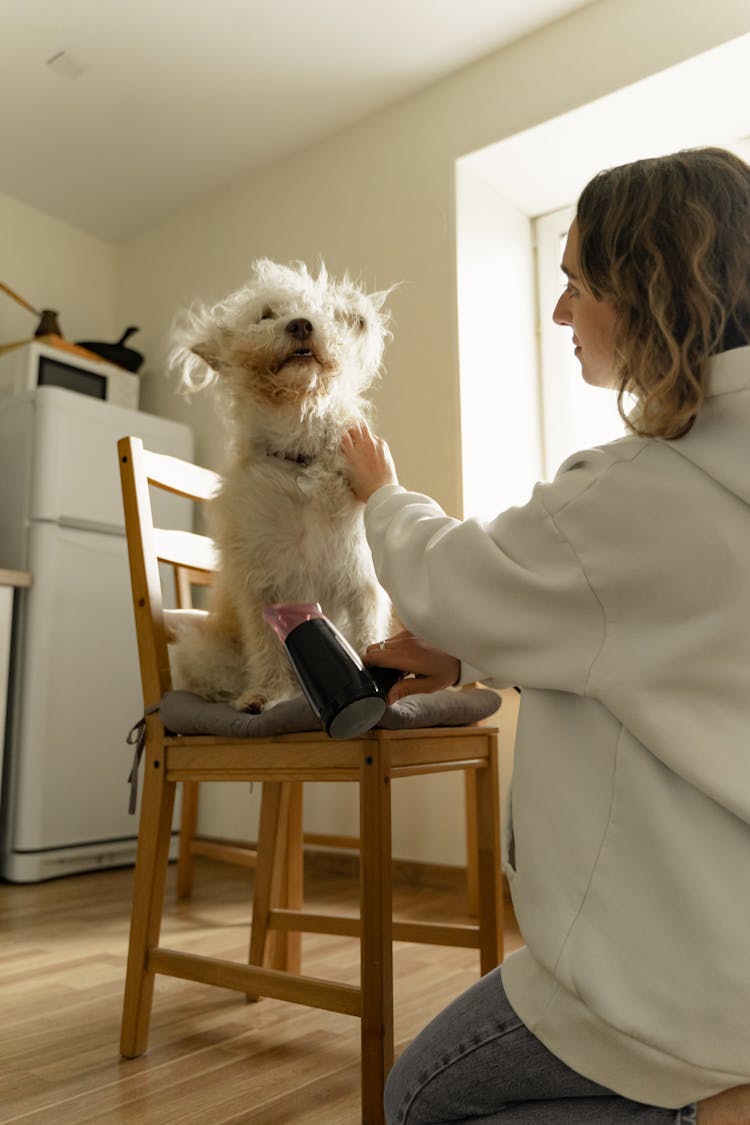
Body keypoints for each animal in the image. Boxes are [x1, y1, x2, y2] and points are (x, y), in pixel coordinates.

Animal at [168, 258, 393, 706]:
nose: (301, 324)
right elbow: (266, 648)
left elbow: (367, 638)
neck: (298, 459)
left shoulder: (362, 583)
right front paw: (266, 694)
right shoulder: (262, 588)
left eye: (322, 312)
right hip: (199, 651)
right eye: (266, 315)